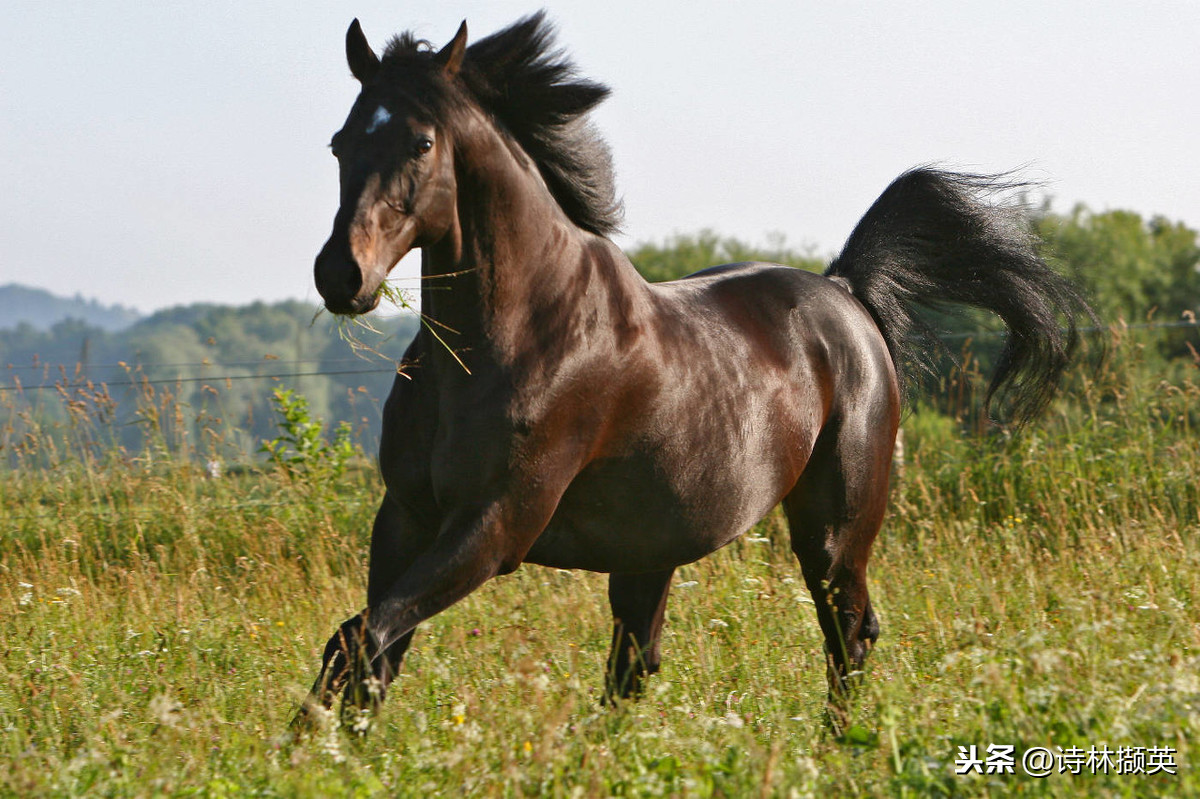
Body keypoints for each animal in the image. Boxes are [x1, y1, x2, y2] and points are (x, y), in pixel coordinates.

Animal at [295, 12, 1094, 724]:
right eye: (338, 143)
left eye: (421, 140)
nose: (341, 275)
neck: (505, 344)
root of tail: (844, 292)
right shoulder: (406, 516)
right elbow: (372, 651)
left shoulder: (495, 525)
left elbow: (361, 636)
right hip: (650, 550)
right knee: (636, 664)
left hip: (833, 531)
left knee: (847, 635)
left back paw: (841, 745)